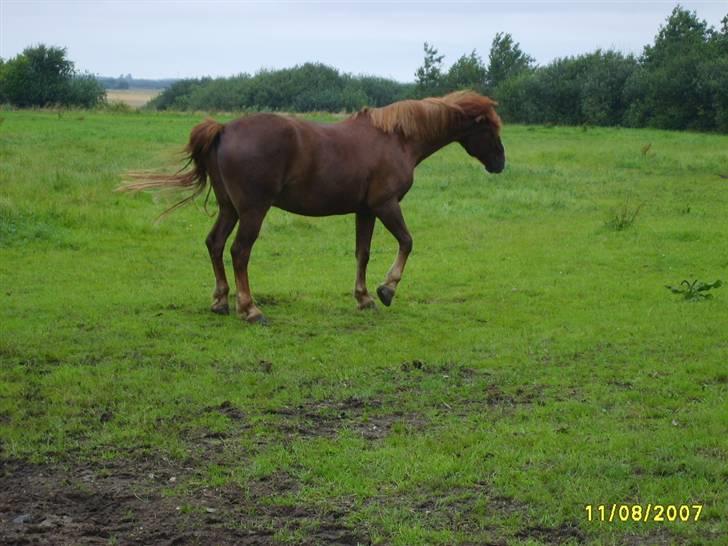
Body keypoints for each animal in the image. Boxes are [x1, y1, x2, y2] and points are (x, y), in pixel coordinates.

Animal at [121, 90, 506, 324]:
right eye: (490, 130)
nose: (501, 163)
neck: (396, 138)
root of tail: (225, 128)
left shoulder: (365, 211)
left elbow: (363, 253)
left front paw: (364, 297)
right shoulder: (385, 205)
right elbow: (407, 242)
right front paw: (387, 290)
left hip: (229, 208)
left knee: (215, 244)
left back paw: (220, 301)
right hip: (253, 211)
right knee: (239, 251)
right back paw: (250, 309)